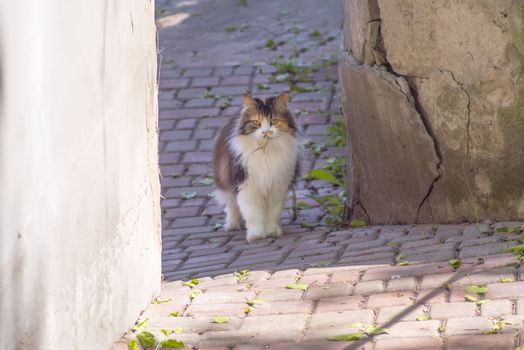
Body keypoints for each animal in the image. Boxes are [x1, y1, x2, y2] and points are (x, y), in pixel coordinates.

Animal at [212, 91, 298, 242]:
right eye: (256, 123)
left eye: (274, 122)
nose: (266, 132)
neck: (266, 151)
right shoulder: (247, 186)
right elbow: (253, 214)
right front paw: (256, 235)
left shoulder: (277, 186)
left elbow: (272, 213)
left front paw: (272, 231)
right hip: (225, 180)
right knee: (231, 205)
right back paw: (232, 224)